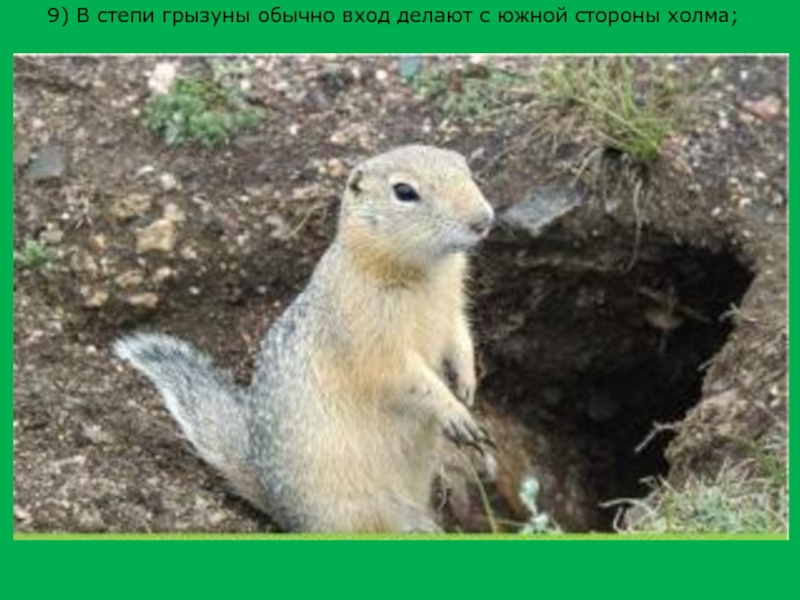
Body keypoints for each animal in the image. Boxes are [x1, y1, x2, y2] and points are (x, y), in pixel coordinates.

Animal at [114, 145, 496, 533]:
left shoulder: (452, 305)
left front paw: (467, 383)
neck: (426, 272)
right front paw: (454, 410)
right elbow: (403, 374)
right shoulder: (370, 333)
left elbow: (459, 336)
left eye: (465, 167)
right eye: (404, 191)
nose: (484, 220)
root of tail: (274, 500)